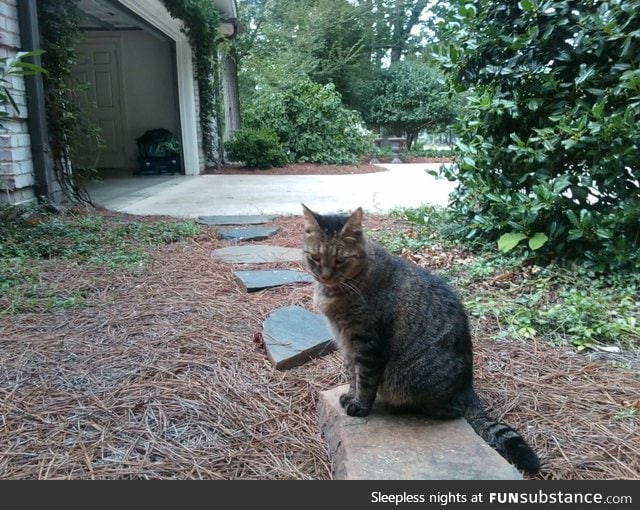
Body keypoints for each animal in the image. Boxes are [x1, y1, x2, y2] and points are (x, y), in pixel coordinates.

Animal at [302, 203, 540, 474]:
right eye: (315, 258)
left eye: (340, 260)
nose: (325, 276)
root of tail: (468, 387)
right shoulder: (348, 345)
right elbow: (353, 375)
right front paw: (350, 396)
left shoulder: (367, 346)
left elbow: (365, 380)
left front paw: (360, 406)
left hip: (411, 379)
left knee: (453, 409)